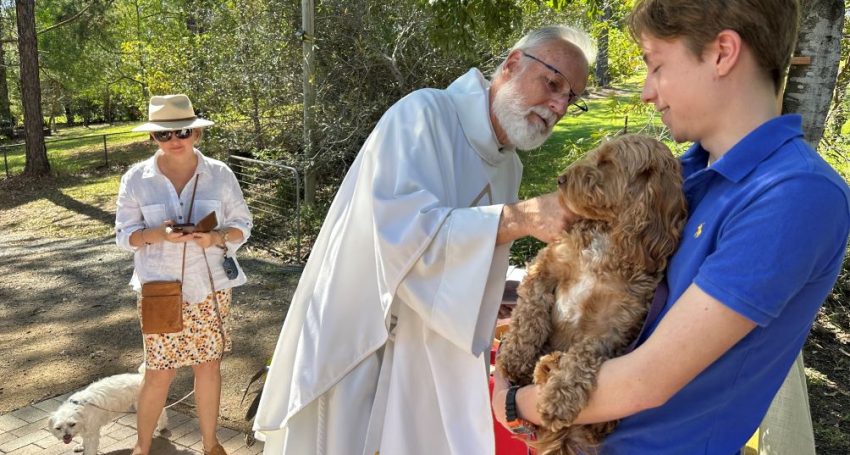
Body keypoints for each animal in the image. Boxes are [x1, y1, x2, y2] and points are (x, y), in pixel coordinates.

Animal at [494, 134, 684, 454]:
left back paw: (551, 367)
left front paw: (560, 396)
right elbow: (528, 315)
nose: (560, 179)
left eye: (607, 162)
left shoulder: (613, 324)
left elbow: (584, 353)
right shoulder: (544, 268)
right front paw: (514, 357)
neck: (607, 237)